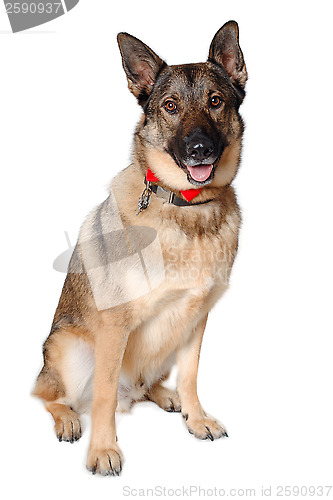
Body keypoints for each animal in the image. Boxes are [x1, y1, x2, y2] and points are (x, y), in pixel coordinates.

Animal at [33, 22, 246, 476]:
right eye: (170, 106)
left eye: (215, 101)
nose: (199, 150)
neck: (185, 208)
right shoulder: (115, 326)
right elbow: (103, 396)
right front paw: (102, 450)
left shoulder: (196, 318)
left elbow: (191, 375)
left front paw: (196, 417)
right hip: (69, 349)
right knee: (52, 395)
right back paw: (68, 419)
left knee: (148, 385)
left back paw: (167, 397)